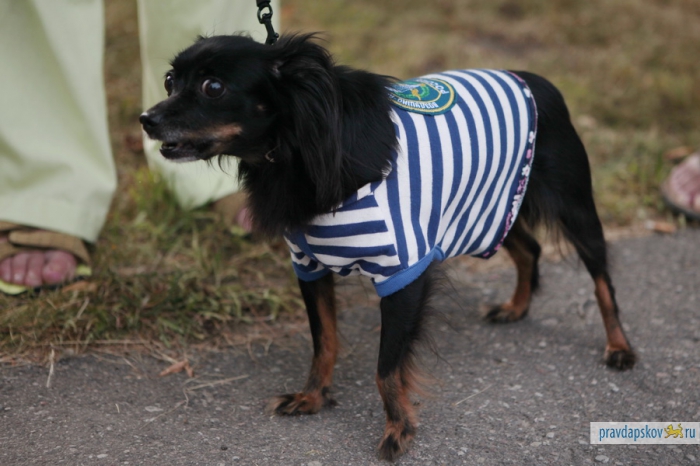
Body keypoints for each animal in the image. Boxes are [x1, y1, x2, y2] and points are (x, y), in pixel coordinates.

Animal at [140, 33, 636, 461]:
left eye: (213, 86)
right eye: (169, 81)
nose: (147, 118)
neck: (298, 147)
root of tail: (537, 81)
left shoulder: (403, 272)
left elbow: (385, 369)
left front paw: (399, 430)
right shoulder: (309, 266)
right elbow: (324, 342)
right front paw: (313, 396)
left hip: (572, 208)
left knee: (602, 280)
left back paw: (619, 347)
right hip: (488, 206)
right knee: (529, 248)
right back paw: (517, 307)